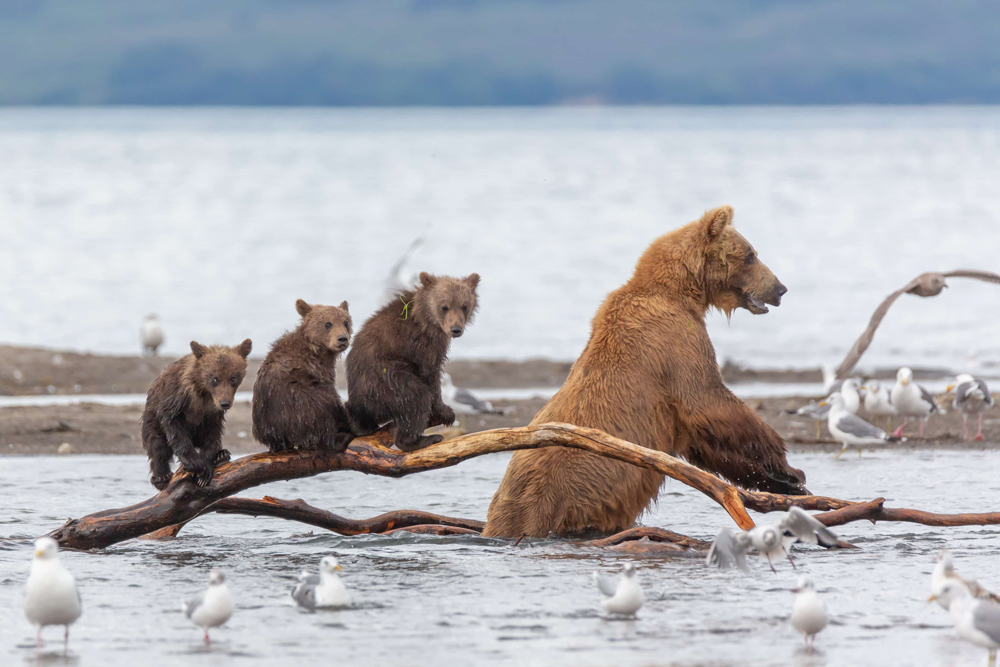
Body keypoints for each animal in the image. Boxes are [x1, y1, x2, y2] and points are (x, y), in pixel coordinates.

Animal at [480, 206, 808, 540]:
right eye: (751, 255)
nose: (780, 289)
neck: (681, 291)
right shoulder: (677, 343)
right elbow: (708, 404)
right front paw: (789, 470)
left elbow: (703, 441)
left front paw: (782, 482)